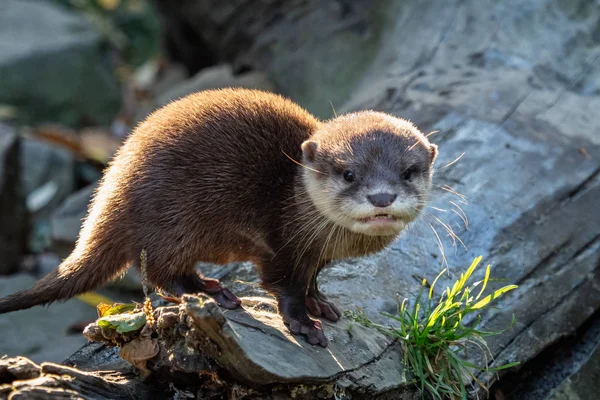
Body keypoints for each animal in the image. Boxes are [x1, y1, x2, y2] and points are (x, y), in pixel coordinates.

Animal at [0, 89, 436, 346]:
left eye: (408, 172)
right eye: (348, 174)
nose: (382, 196)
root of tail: (110, 193)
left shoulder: (314, 256)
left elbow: (311, 281)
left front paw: (322, 304)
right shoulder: (280, 244)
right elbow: (284, 286)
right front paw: (303, 323)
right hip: (170, 221)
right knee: (158, 274)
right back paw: (213, 293)